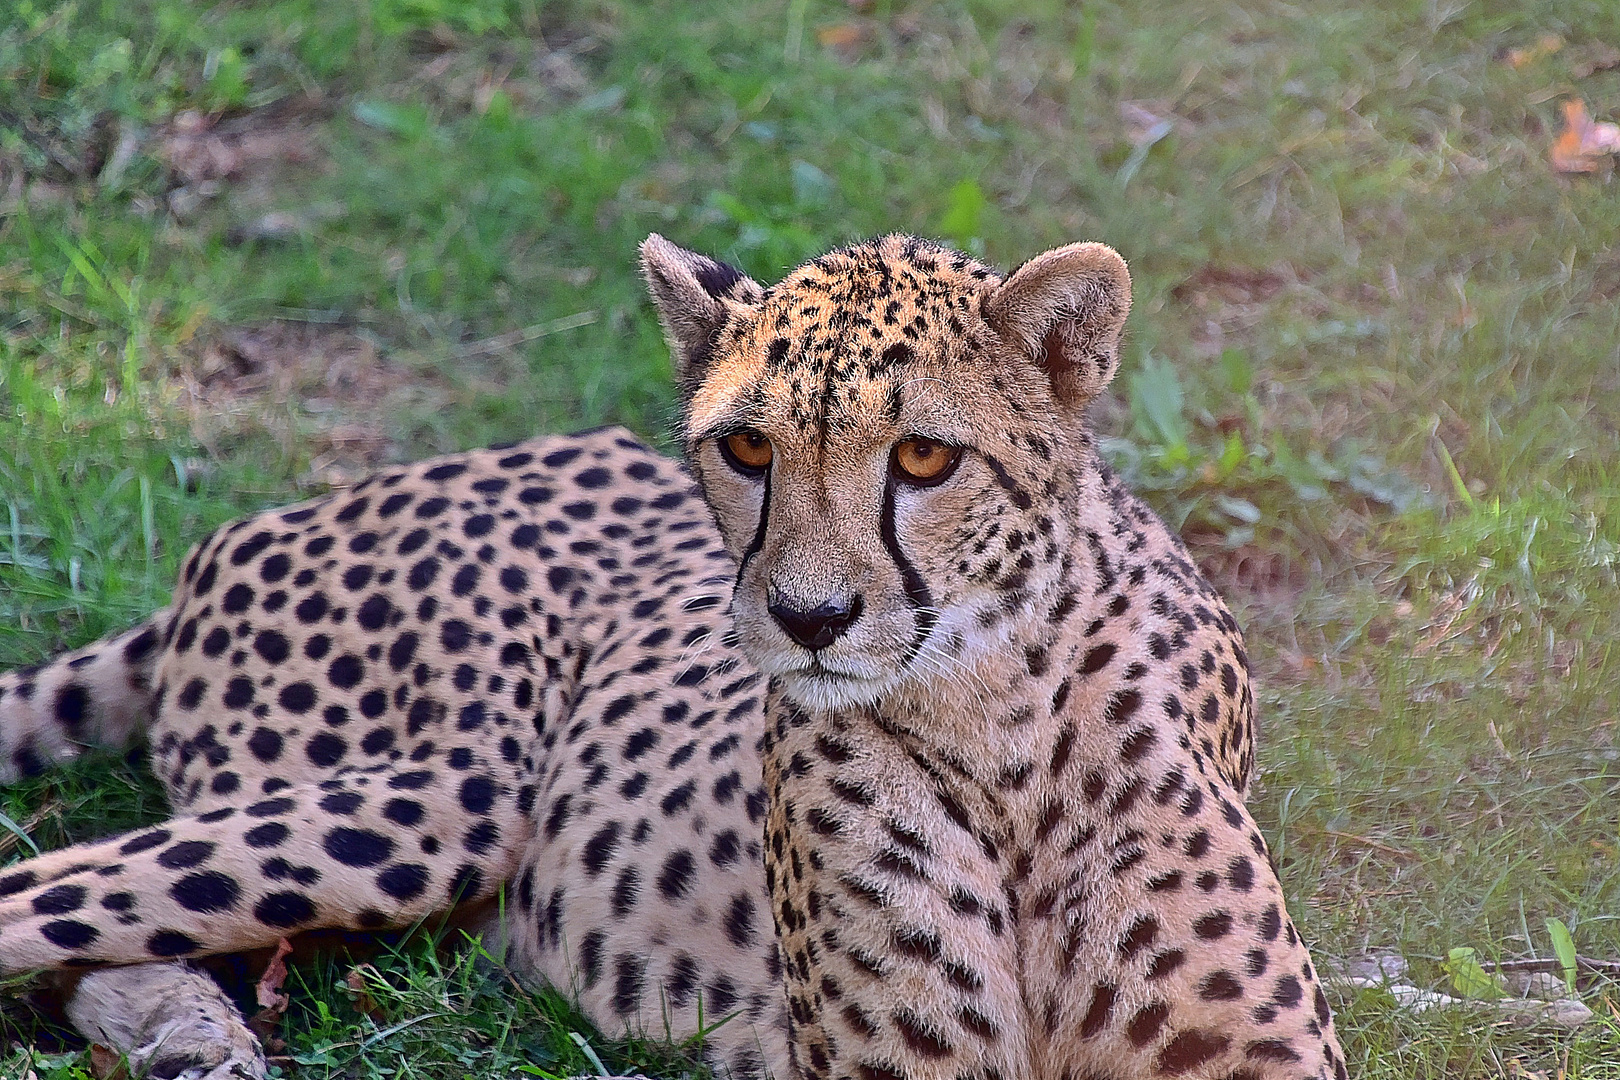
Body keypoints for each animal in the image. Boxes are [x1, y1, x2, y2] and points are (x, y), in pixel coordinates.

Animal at [0, 236, 1341, 1080]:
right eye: (747, 448)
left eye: (923, 458)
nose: (808, 617)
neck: (993, 710)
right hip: (443, 801)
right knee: (52, 900)